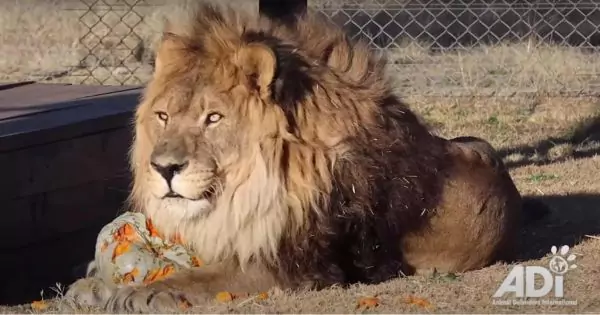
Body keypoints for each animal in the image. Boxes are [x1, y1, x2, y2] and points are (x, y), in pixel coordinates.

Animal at [63, 4, 548, 314]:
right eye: (163, 116)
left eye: (213, 118)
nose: (163, 168)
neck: (249, 188)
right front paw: (93, 284)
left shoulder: (299, 268)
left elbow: (205, 278)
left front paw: (142, 292)